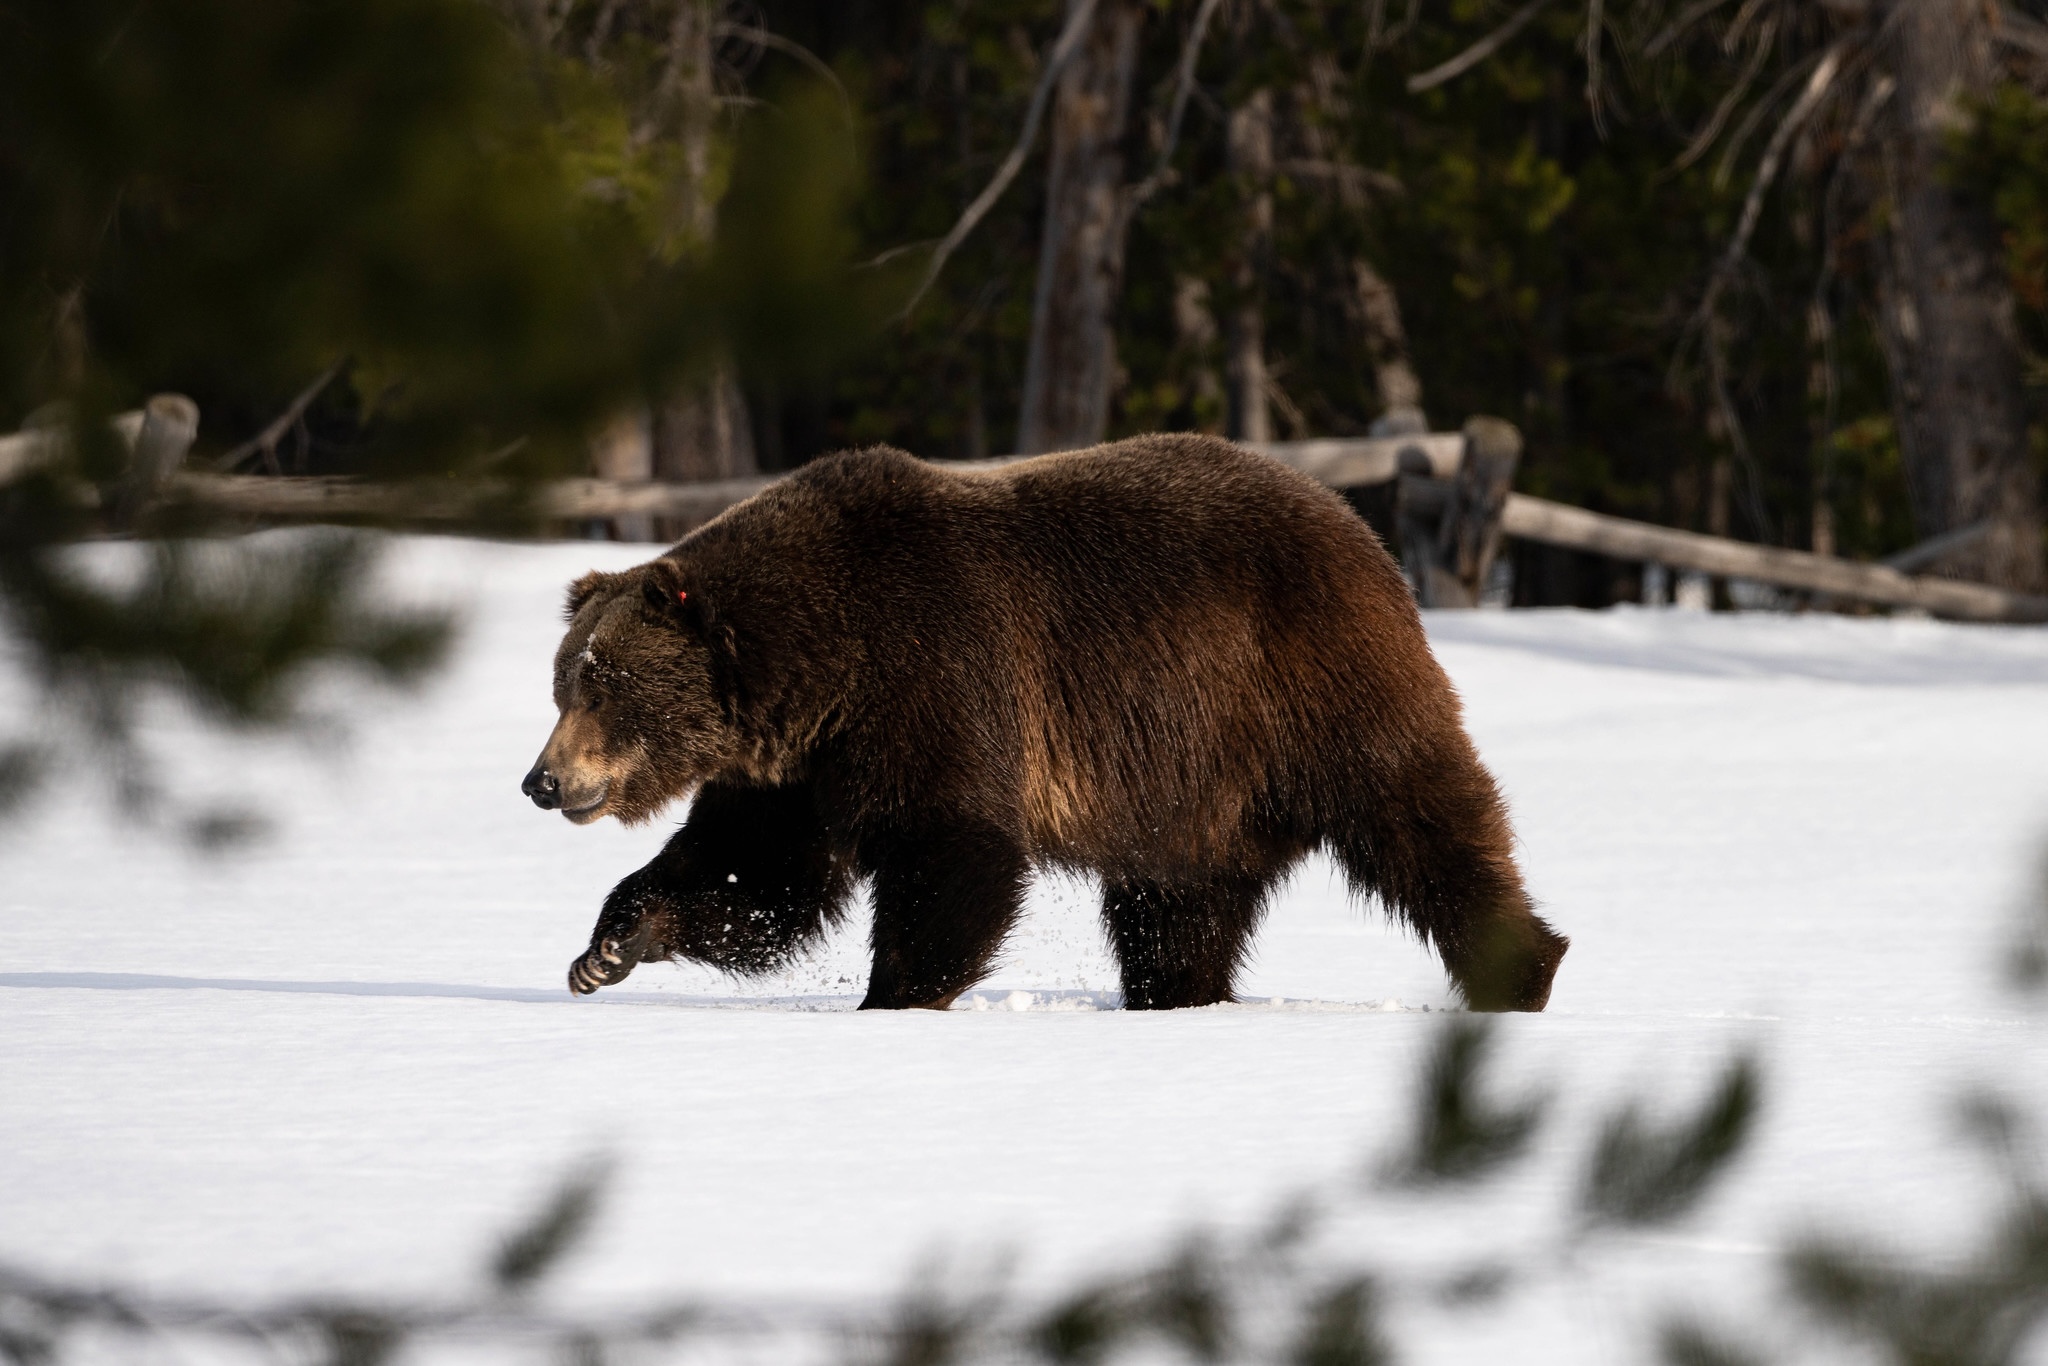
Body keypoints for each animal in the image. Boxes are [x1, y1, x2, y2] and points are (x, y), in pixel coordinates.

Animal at [524, 432, 1564, 1011]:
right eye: (563, 681)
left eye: (604, 683)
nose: (542, 780)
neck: (820, 667)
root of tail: (1359, 527)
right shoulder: (799, 770)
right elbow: (755, 875)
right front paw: (605, 949)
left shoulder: (933, 679)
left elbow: (953, 850)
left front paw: (895, 992)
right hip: (1192, 786)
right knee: (1174, 907)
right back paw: (1173, 997)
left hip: (1304, 689)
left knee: (1419, 818)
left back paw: (1523, 967)